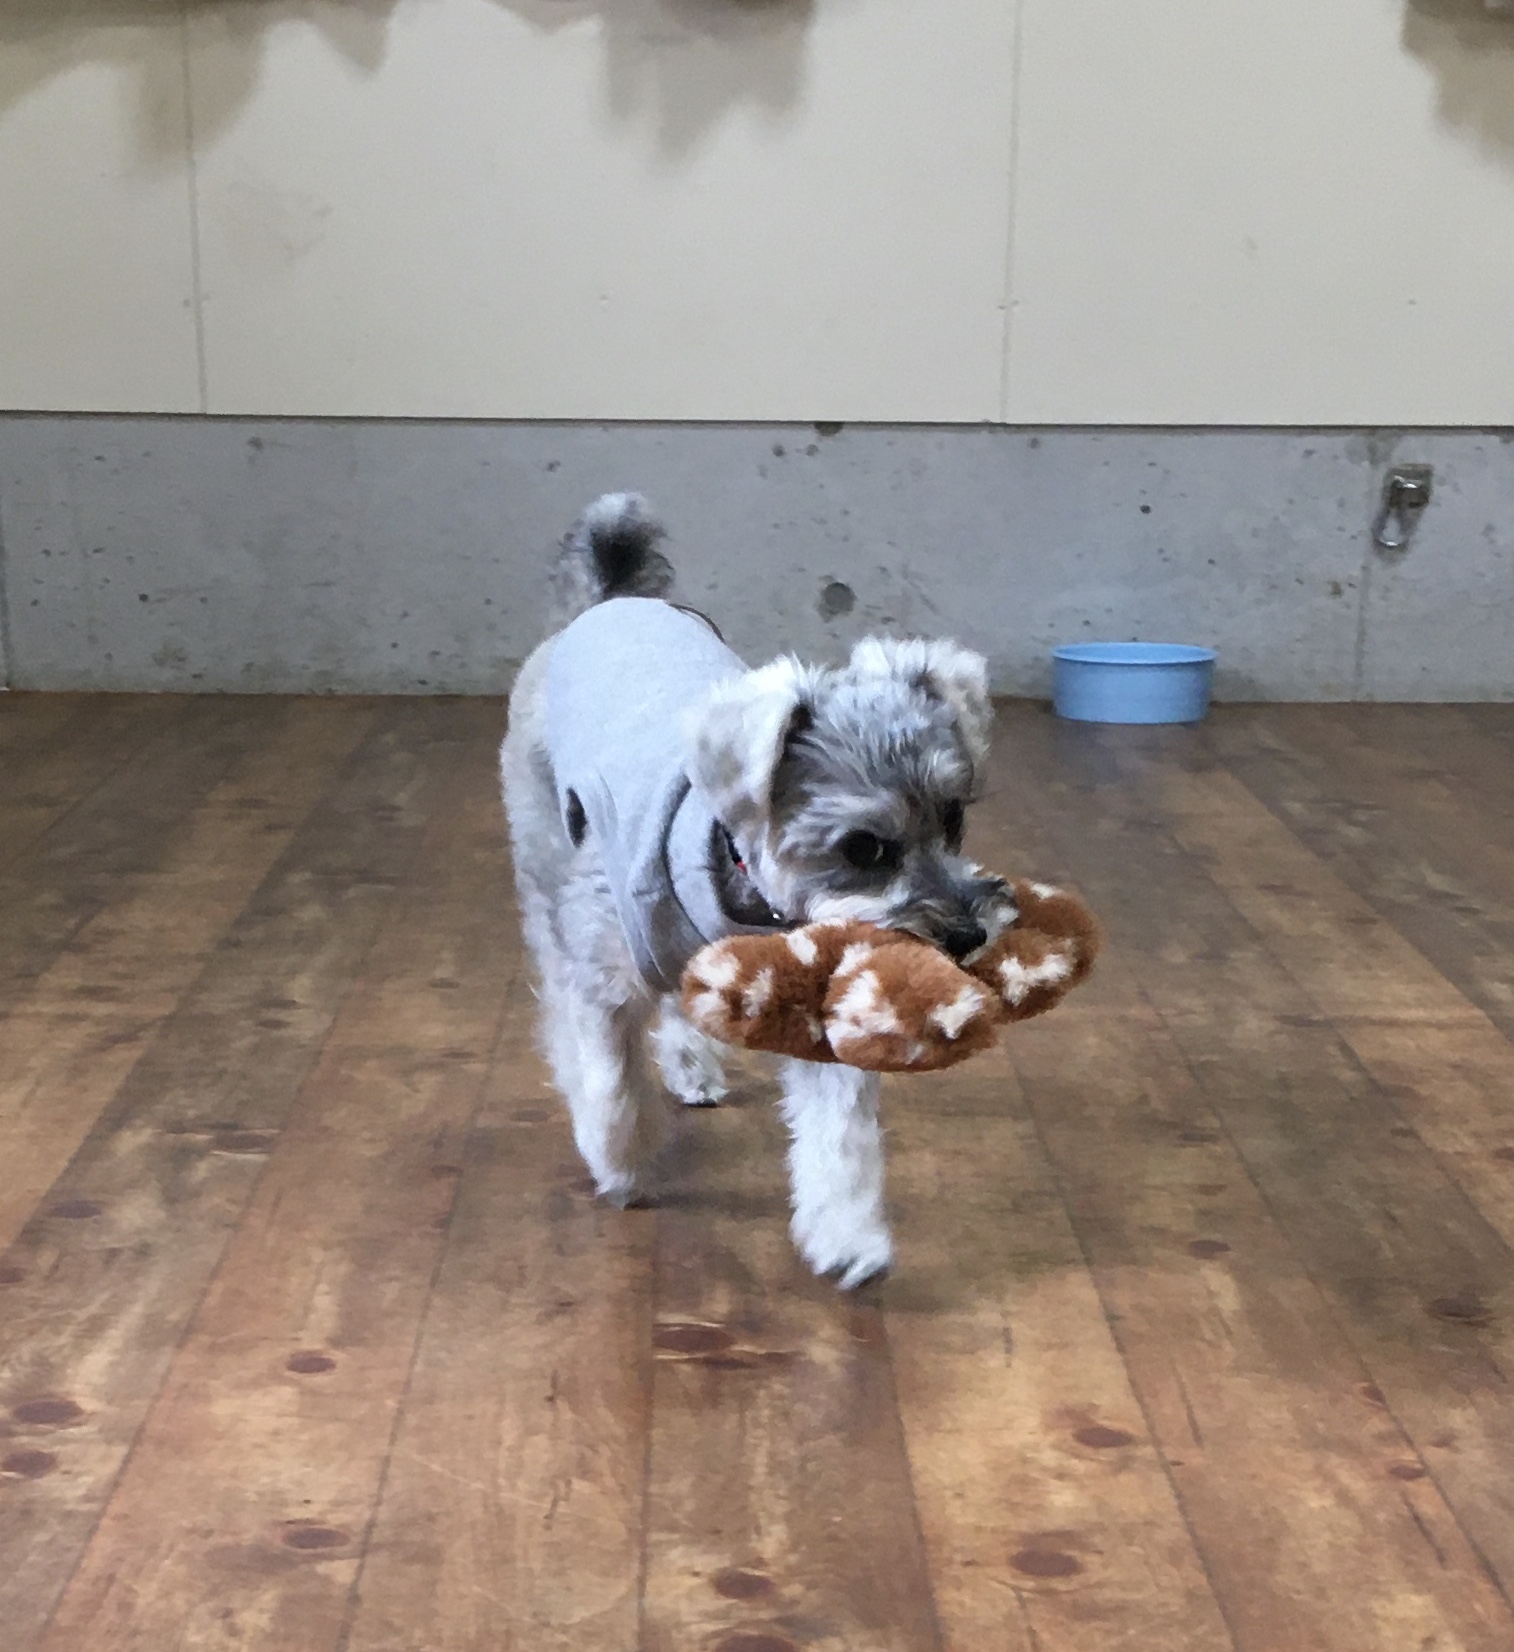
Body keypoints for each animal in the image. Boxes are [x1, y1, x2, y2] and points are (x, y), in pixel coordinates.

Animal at [500, 493, 1017, 1287]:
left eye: (955, 817)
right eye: (863, 848)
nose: (968, 935)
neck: (753, 900)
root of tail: (610, 602)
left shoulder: (817, 1020)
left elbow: (841, 1139)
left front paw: (849, 1235)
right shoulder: (604, 983)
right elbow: (612, 1080)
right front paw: (619, 1162)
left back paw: (692, 1066)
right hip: (545, 859)